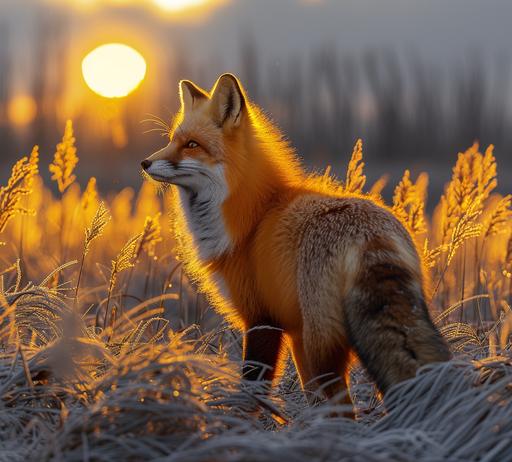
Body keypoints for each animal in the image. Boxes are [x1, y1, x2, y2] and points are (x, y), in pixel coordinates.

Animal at [140, 73, 448, 412]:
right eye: (171, 140)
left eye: (192, 145)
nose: (145, 163)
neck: (255, 214)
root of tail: (369, 235)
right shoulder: (295, 334)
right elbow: (310, 399)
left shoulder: (262, 320)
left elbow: (252, 391)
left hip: (321, 347)